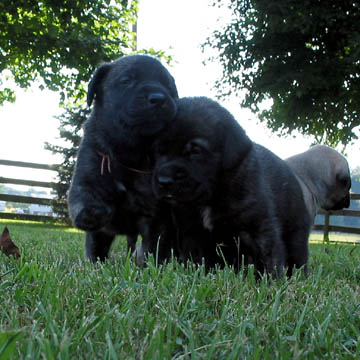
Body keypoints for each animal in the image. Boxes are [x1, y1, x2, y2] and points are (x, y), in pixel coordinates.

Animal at [67, 54, 177, 262]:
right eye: (127, 81)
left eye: (168, 86)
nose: (159, 98)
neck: (129, 151)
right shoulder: (89, 170)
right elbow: (84, 195)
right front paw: (92, 213)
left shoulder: (153, 212)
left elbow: (152, 245)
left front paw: (148, 264)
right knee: (97, 247)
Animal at [152, 97, 312, 278]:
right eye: (159, 151)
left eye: (196, 151)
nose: (164, 181)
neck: (211, 196)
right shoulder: (192, 232)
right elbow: (197, 261)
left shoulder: (259, 229)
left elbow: (268, 258)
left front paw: (270, 282)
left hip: (296, 233)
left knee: (297, 257)